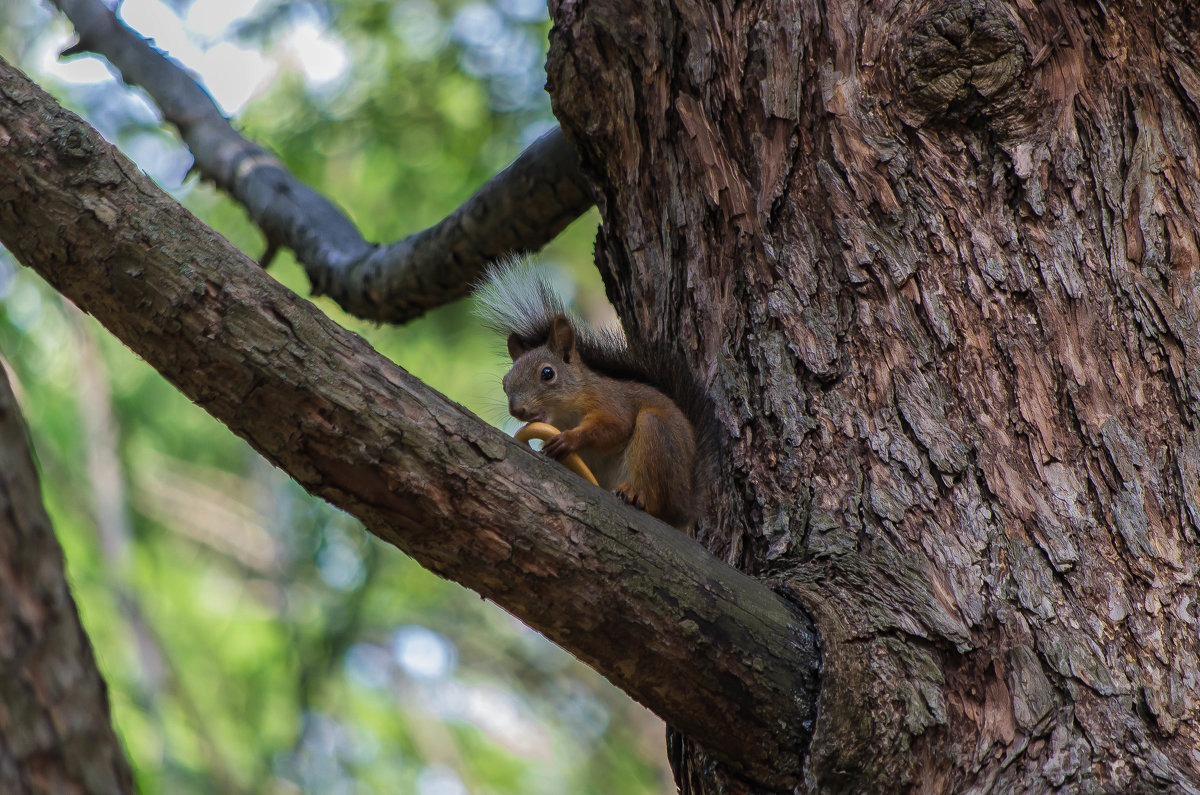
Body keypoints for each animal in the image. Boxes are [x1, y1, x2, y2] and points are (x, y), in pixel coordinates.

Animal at [472, 262, 705, 535]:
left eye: (547, 373)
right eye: (505, 383)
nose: (517, 410)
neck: (565, 414)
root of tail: (686, 508)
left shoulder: (609, 400)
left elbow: (616, 425)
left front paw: (569, 439)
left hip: (656, 438)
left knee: (660, 507)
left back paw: (636, 495)